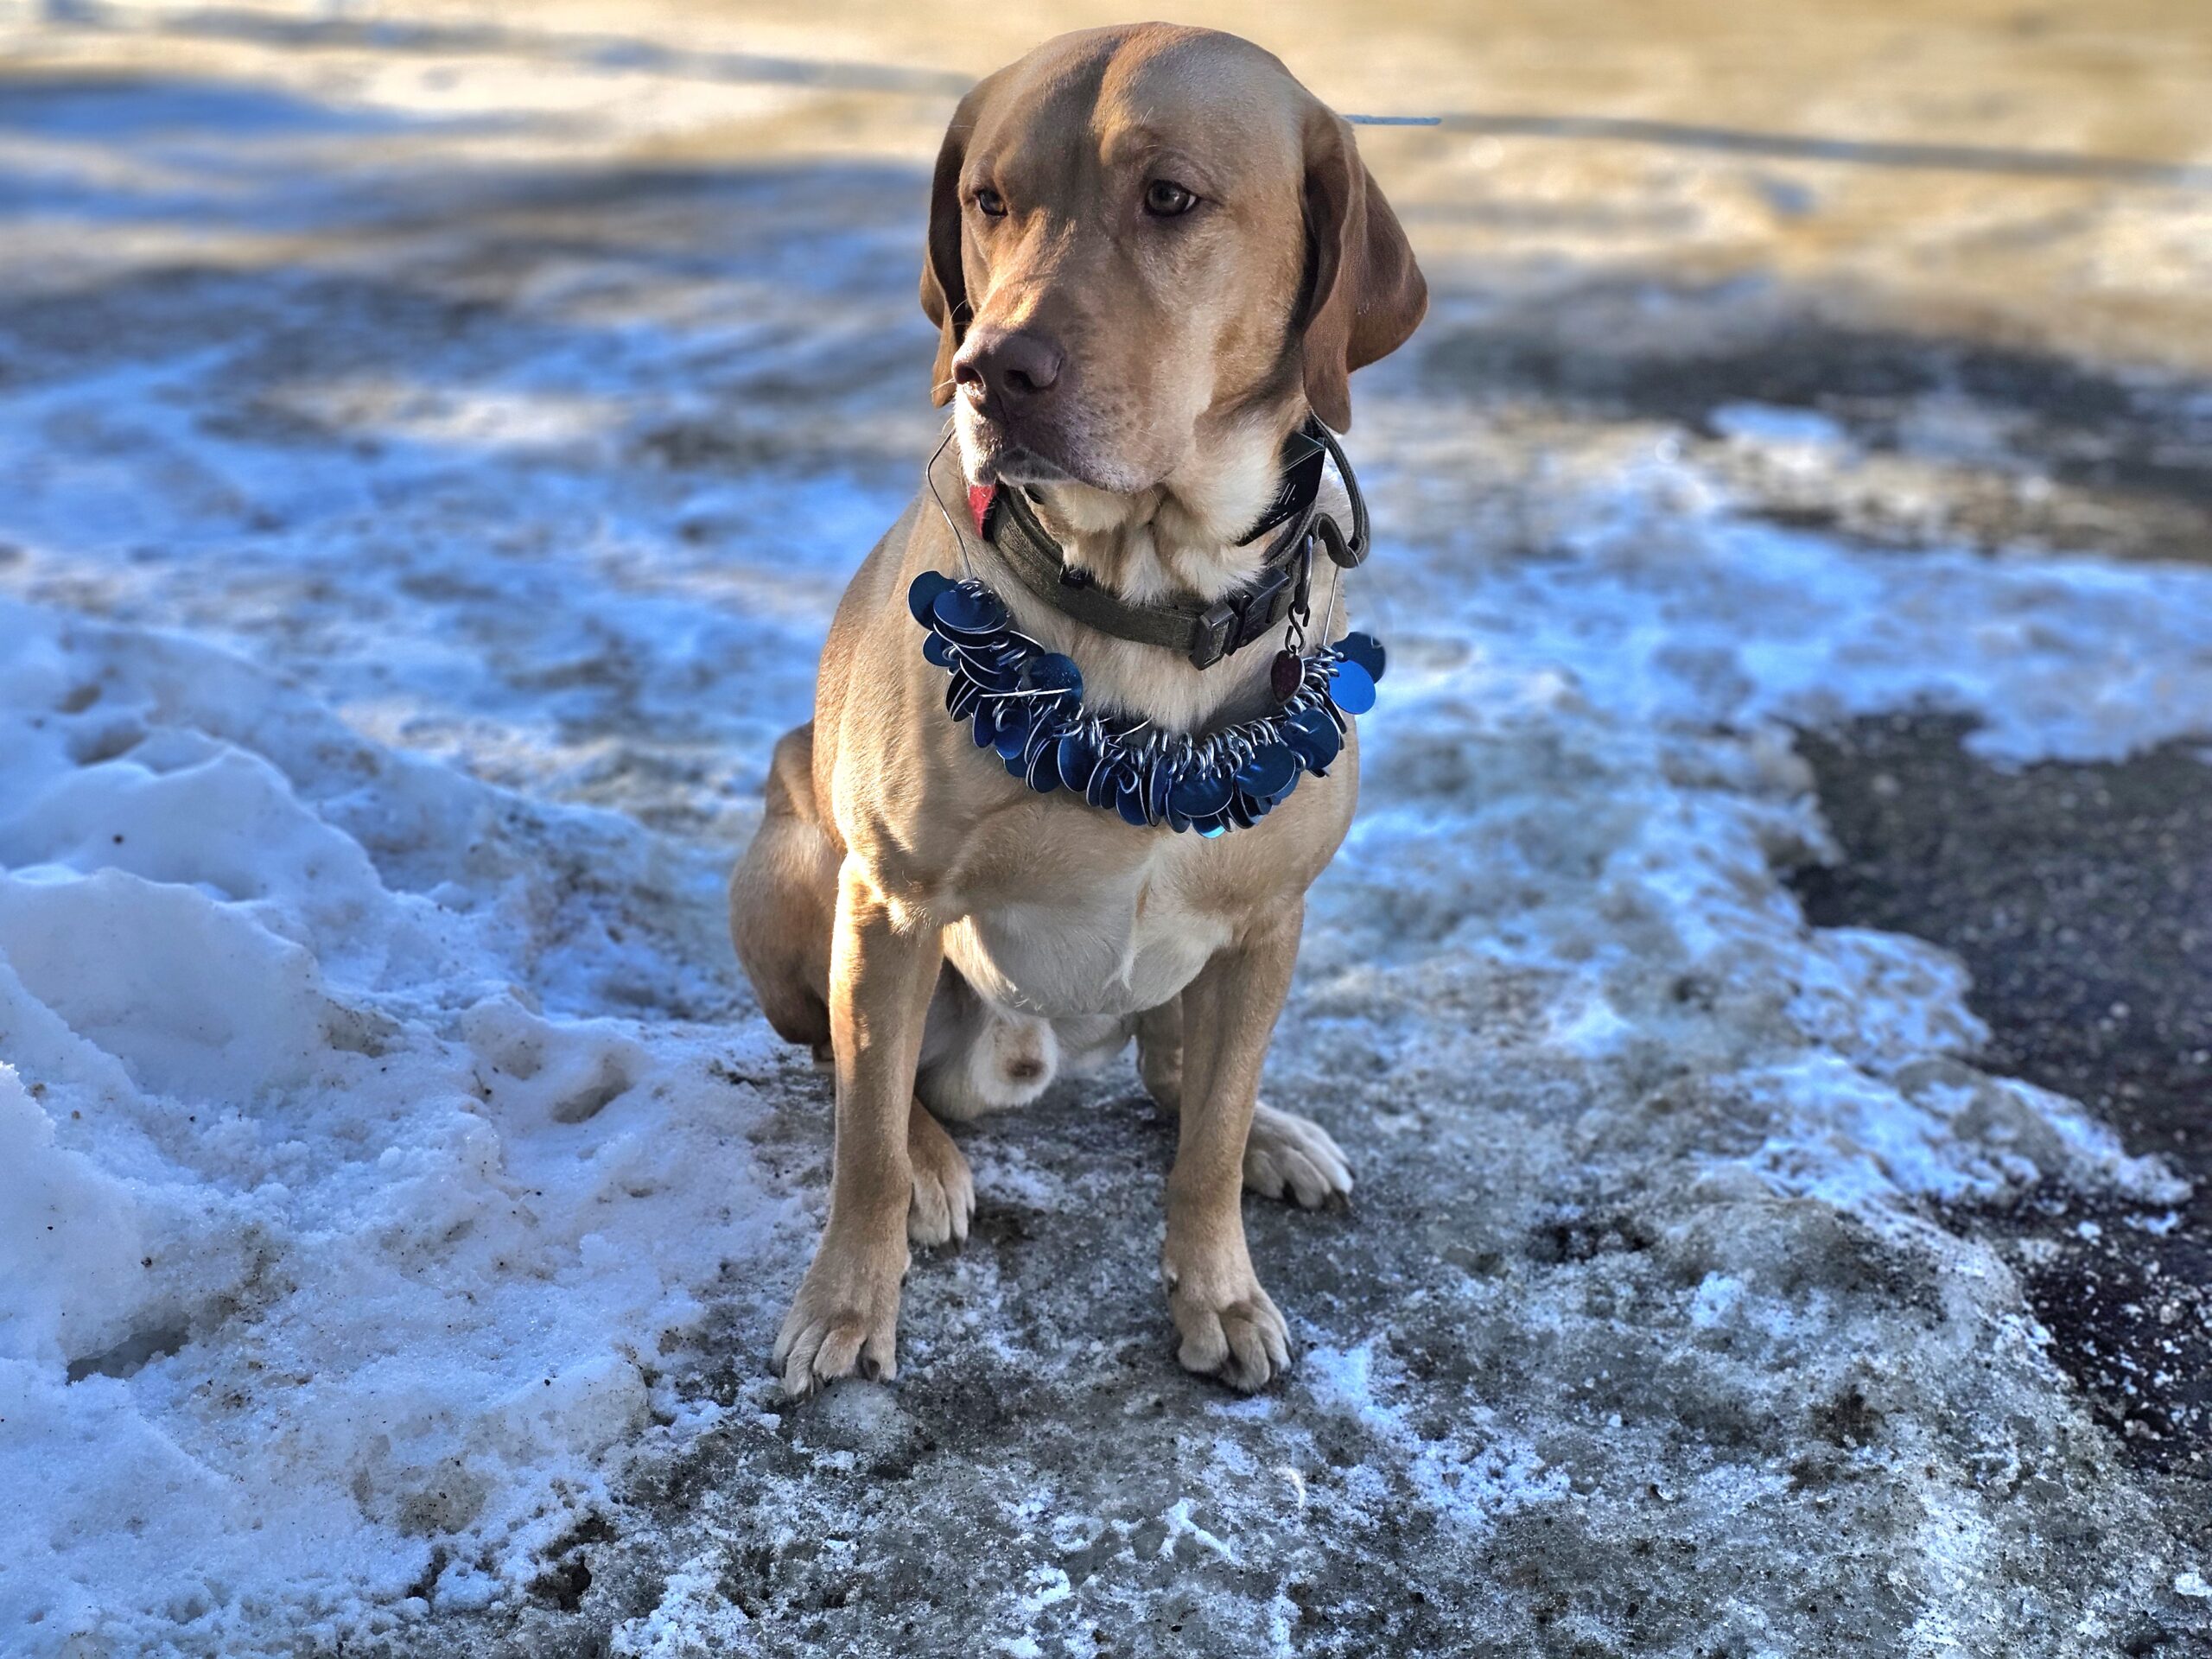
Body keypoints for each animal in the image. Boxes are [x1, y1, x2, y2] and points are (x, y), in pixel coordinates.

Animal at [734, 26, 1424, 1407]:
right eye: (988, 201)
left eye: (1170, 198)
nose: (988, 372)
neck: (1149, 597)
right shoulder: (890, 901)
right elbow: (859, 1144)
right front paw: (846, 1302)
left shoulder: (1269, 923)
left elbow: (1205, 1143)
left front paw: (1219, 1287)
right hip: (799, 860)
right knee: (850, 1070)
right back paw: (935, 1157)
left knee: (1176, 1073)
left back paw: (1269, 1133)